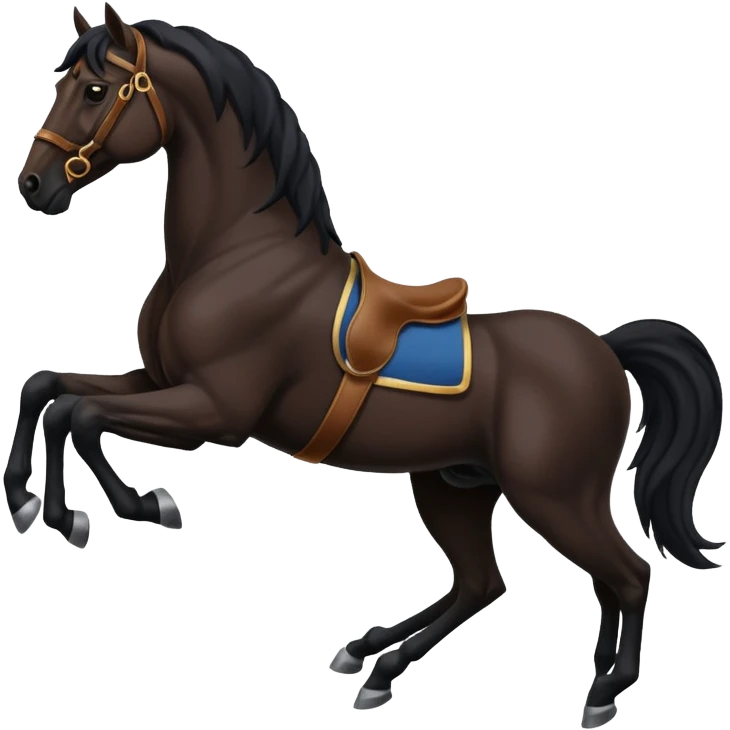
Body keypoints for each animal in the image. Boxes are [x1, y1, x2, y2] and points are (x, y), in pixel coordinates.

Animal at [8, 5, 725, 727]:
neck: (232, 256)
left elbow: (80, 413)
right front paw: (33, 503)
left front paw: (129, 508)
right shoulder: (158, 383)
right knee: (486, 582)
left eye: (94, 91)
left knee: (626, 575)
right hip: (454, 484)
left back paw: (602, 690)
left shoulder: (211, 411)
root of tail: (605, 349)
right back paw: (374, 659)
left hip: (555, 495)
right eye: (62, 83)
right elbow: (48, 390)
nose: (34, 185)